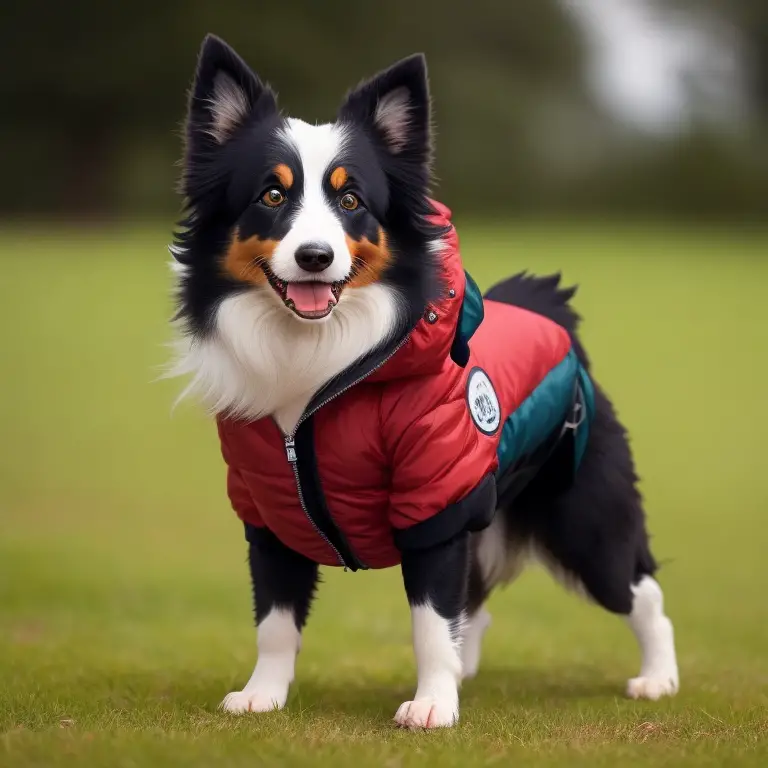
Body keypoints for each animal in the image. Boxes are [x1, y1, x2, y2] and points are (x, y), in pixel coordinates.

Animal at [166, 36, 680, 728]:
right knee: (479, 604)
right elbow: (274, 616)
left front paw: (434, 704)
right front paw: (262, 695)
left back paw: (658, 678)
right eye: (271, 197)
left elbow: (432, 620)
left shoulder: (436, 500)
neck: (323, 369)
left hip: (586, 515)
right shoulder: (269, 504)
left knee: (641, 590)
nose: (314, 257)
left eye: (351, 200)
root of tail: (548, 305)